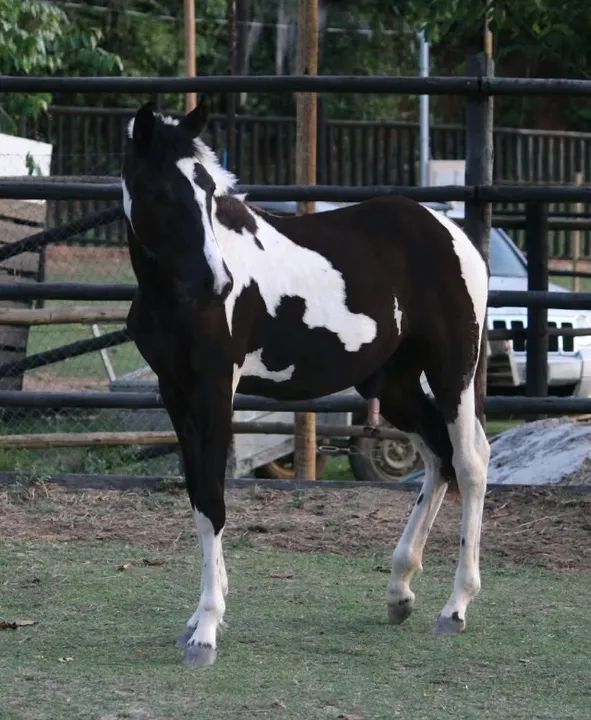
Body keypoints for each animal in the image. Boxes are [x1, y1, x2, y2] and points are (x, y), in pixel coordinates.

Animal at [121, 100, 490, 666]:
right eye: (162, 192)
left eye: (208, 193)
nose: (219, 284)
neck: (175, 297)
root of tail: (453, 235)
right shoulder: (175, 391)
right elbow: (198, 496)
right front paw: (202, 619)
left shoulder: (215, 392)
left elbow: (213, 498)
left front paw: (206, 631)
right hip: (395, 383)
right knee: (440, 455)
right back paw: (399, 590)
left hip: (454, 372)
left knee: (469, 463)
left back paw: (455, 607)